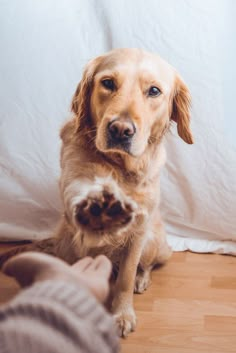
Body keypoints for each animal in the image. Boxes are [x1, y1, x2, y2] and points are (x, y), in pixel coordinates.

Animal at [0, 47, 193, 336]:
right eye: (108, 83)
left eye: (154, 91)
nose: (120, 130)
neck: (117, 166)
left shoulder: (139, 229)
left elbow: (125, 278)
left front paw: (121, 313)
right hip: (65, 239)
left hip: (152, 242)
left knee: (146, 265)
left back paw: (141, 278)